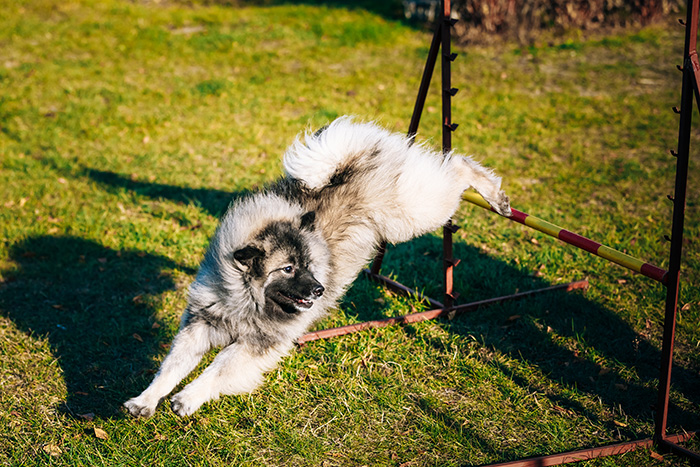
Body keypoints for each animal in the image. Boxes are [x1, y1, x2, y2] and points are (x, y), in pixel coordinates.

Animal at [124, 117, 508, 416]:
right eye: (288, 269)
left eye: (308, 265)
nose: (320, 289)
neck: (244, 301)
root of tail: (357, 156)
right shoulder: (200, 327)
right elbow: (169, 369)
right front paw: (145, 400)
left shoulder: (254, 346)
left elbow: (216, 371)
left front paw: (188, 398)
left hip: (417, 211)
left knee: (458, 165)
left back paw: (496, 197)